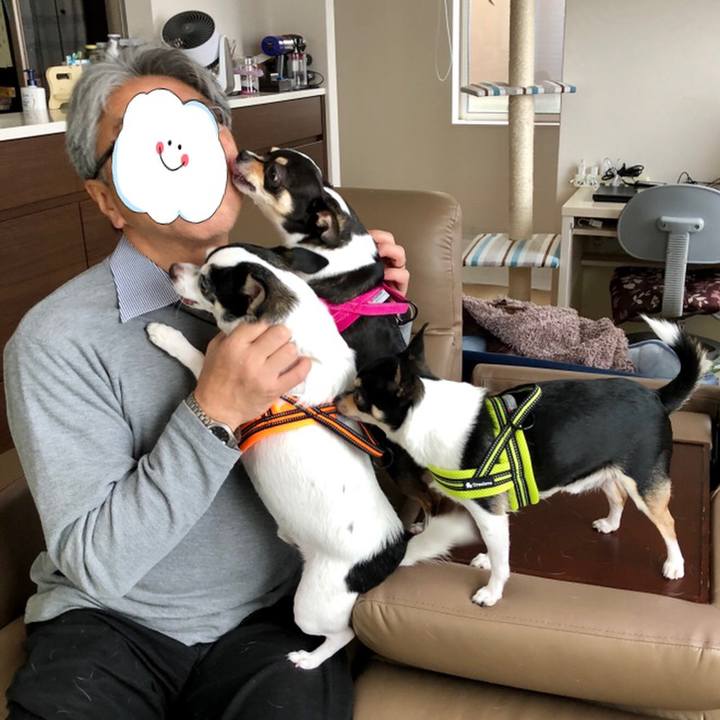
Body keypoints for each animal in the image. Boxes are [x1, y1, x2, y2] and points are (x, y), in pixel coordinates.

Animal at [145, 245, 475, 668]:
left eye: (206, 284)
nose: (172, 268)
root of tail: (391, 556)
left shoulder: (243, 397)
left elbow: (200, 361)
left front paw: (166, 335)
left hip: (311, 604)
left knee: (342, 634)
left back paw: (309, 658)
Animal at [337, 316, 705, 608]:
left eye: (358, 394)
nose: (335, 398)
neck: (429, 415)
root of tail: (656, 395)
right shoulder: (489, 513)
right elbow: (494, 547)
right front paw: (486, 559)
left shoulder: (490, 513)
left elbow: (503, 560)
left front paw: (492, 592)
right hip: (609, 471)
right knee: (618, 497)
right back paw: (610, 524)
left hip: (646, 484)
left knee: (667, 523)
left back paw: (675, 565)